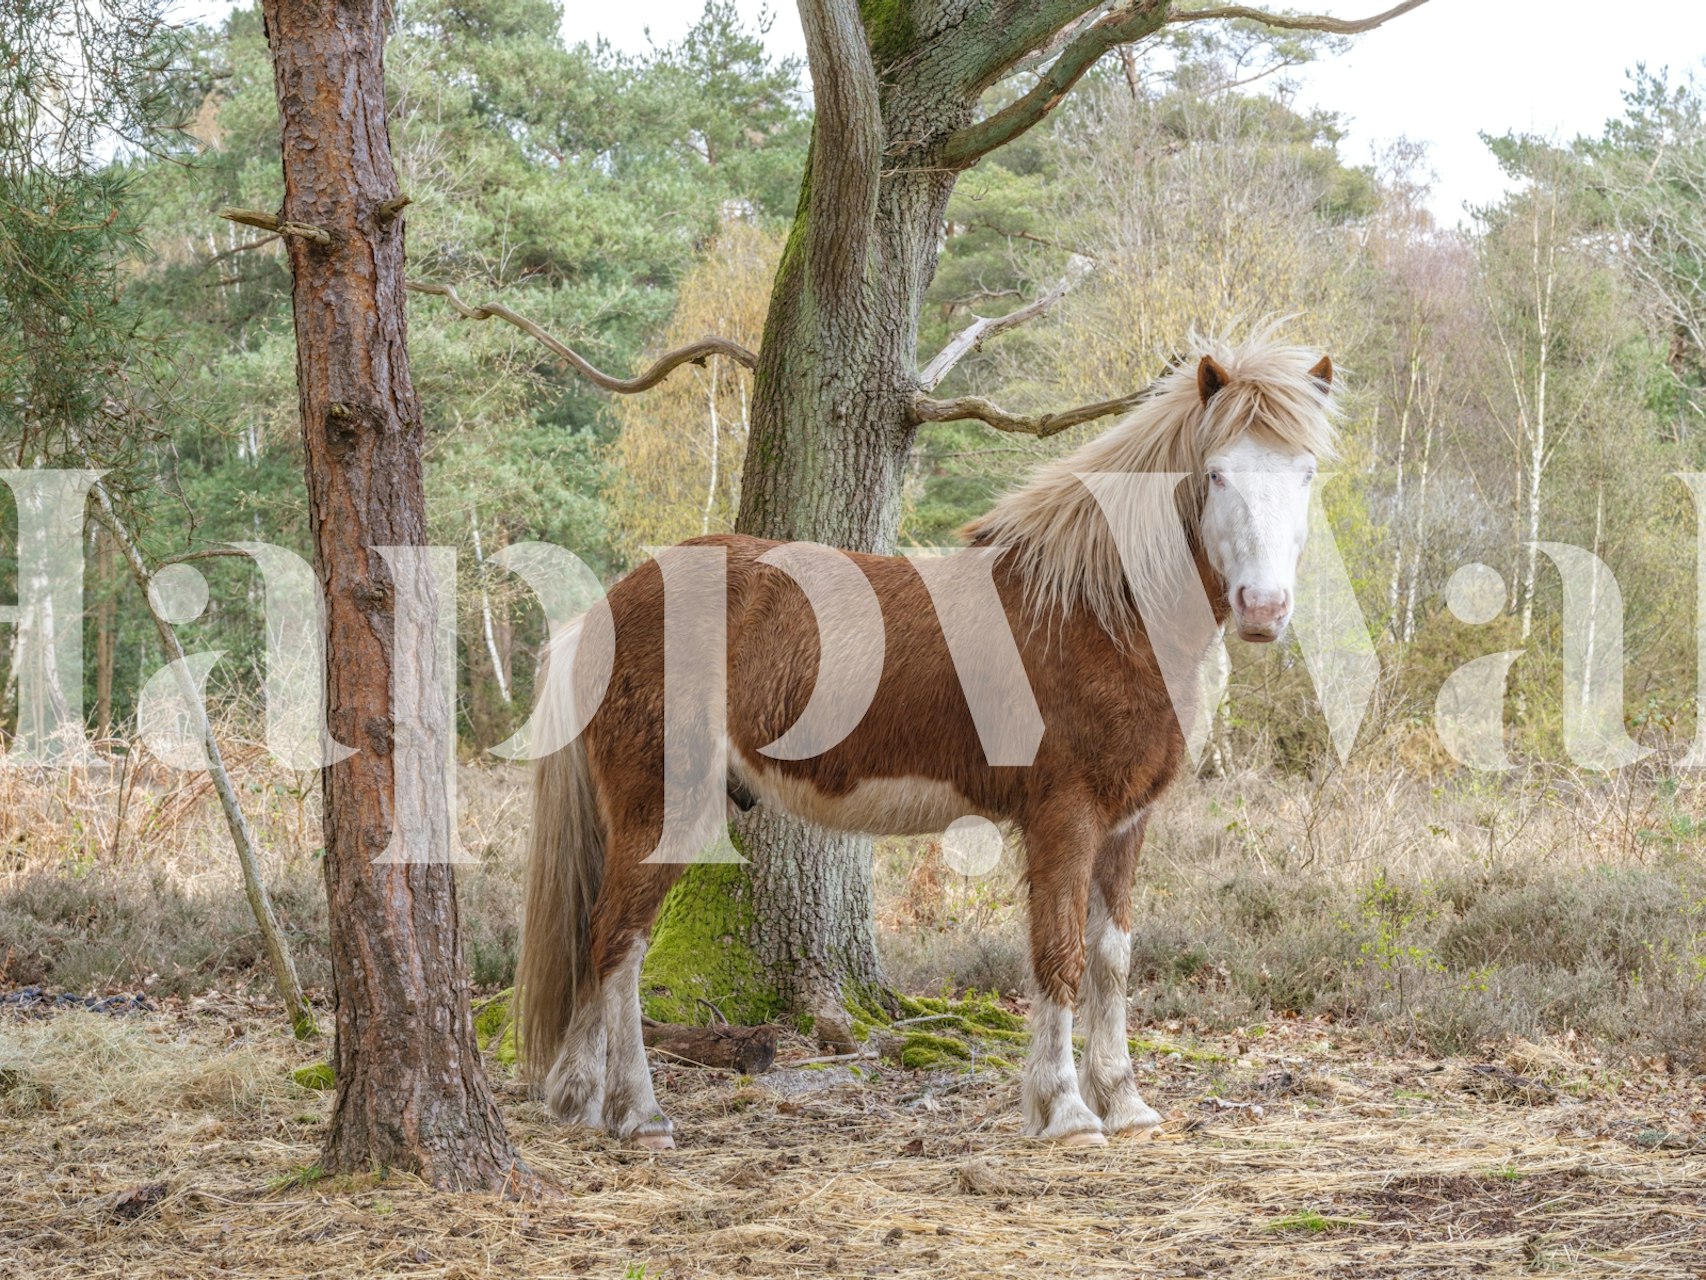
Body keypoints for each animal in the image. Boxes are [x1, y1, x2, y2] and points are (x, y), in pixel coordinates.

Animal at [517, 333, 1337, 1149]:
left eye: (1306, 473)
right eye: (1218, 472)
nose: (1264, 609)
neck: (1097, 612)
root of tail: (604, 607)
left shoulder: (1126, 820)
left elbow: (1111, 959)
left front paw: (1126, 1103)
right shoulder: (1065, 816)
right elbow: (1060, 954)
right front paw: (1067, 1112)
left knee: (600, 942)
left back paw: (579, 1099)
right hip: (663, 810)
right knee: (617, 943)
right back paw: (637, 1112)